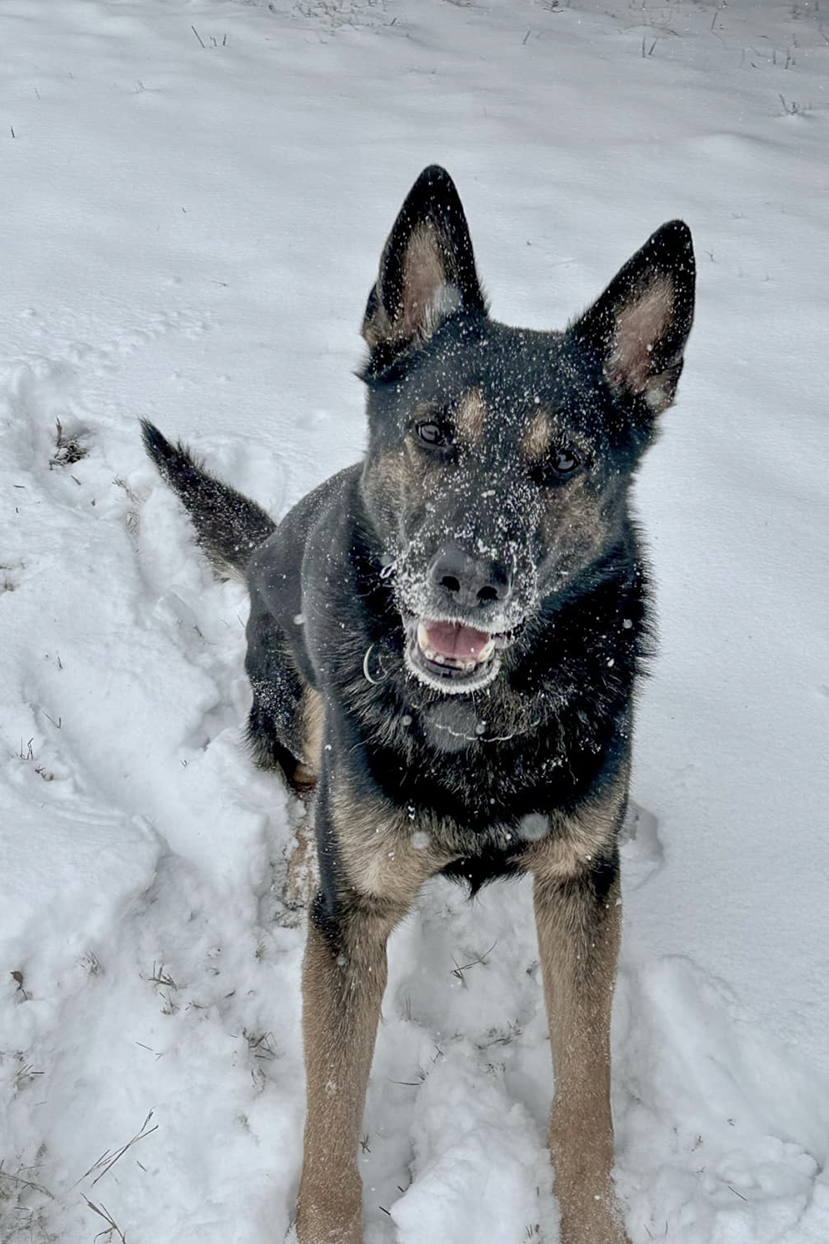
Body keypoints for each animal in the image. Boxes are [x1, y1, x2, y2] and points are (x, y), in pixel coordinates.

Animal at [141, 167, 692, 1244]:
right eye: (435, 432)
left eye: (563, 462)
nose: (467, 580)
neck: (477, 725)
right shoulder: (353, 930)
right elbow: (330, 1120)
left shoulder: (581, 886)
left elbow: (586, 1098)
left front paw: (596, 1220)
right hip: (297, 698)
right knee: (307, 787)